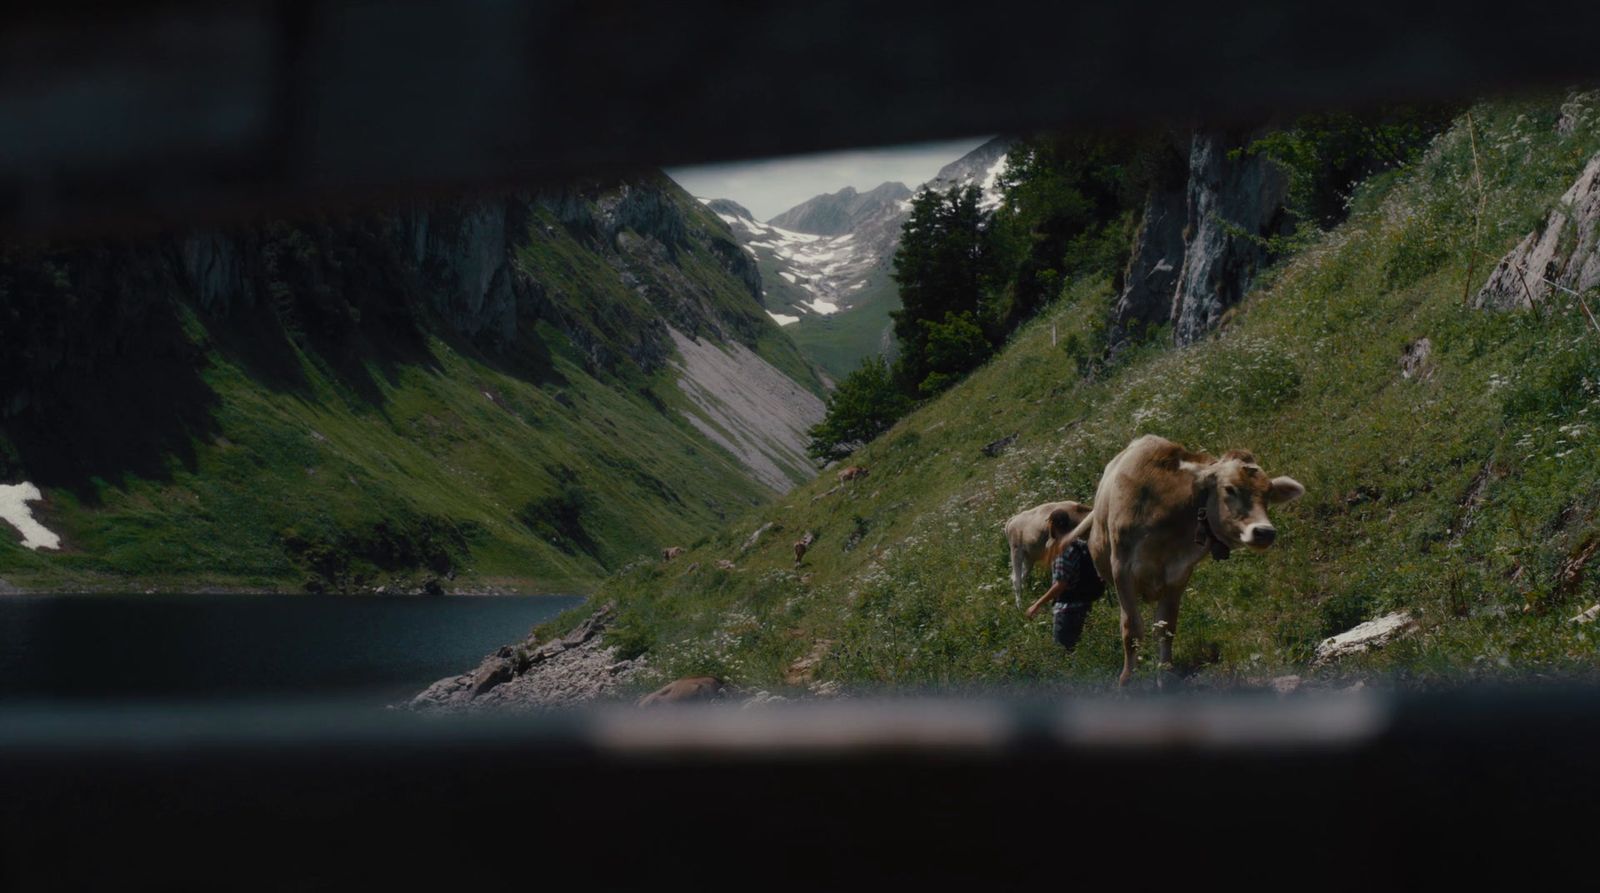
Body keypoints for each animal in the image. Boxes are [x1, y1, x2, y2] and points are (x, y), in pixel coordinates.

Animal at [1062, 438, 1299, 688]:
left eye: (1268, 493)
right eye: (1229, 489)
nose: (1265, 532)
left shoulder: (1178, 573)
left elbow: (1166, 626)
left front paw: (1165, 677)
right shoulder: (1122, 570)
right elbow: (1131, 629)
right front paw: (1127, 681)